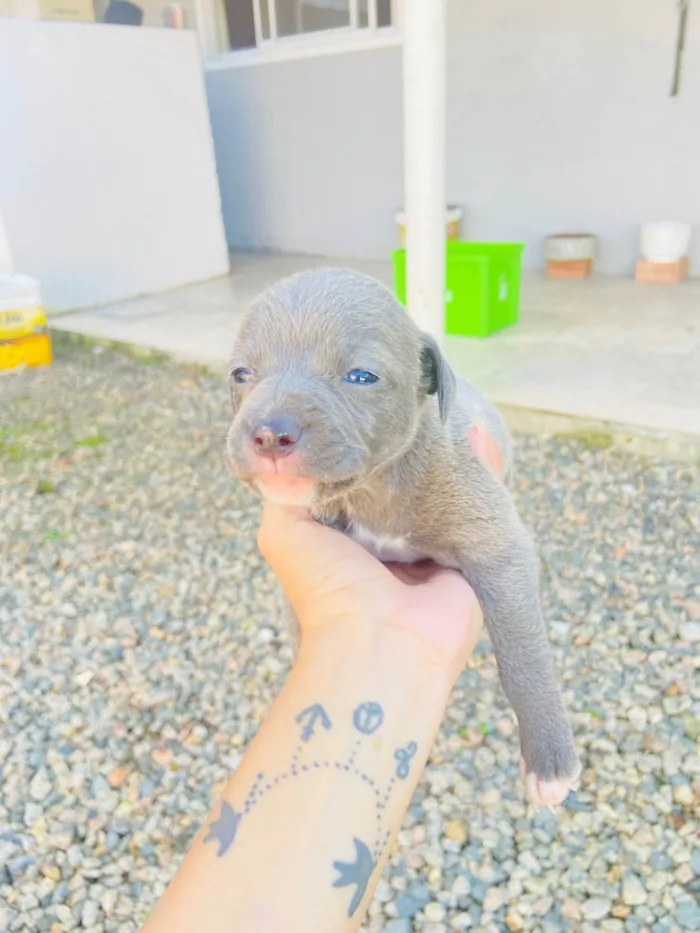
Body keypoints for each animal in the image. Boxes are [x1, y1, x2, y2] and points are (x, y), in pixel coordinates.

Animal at [224, 266, 580, 804]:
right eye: (241, 374)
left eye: (361, 376)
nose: (269, 434)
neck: (376, 490)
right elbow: (301, 633)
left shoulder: (497, 543)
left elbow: (523, 653)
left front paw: (550, 762)